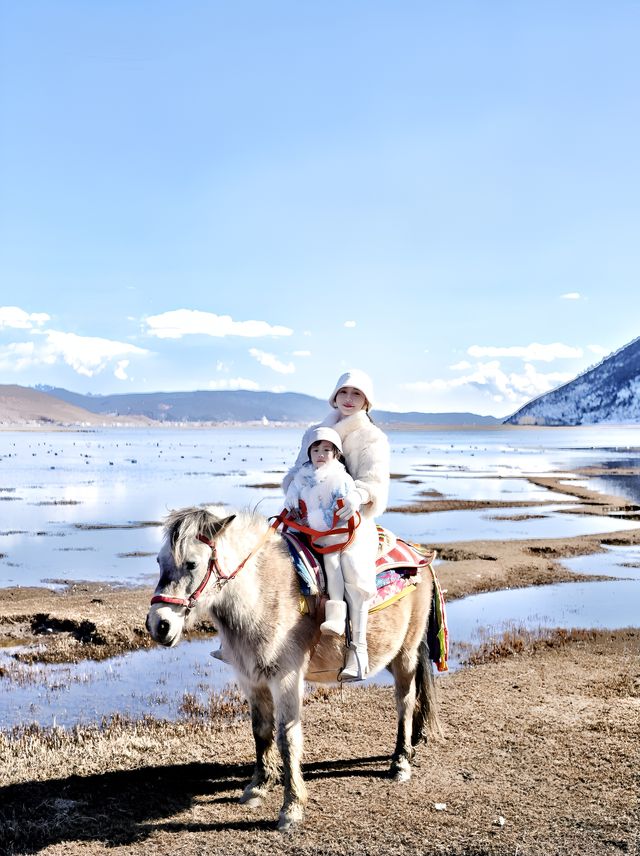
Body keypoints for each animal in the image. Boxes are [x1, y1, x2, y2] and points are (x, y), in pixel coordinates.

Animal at [145, 504, 440, 832]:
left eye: (192, 563)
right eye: (159, 561)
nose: (159, 625)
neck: (262, 595)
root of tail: (419, 555)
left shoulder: (286, 679)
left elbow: (288, 737)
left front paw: (292, 807)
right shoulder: (251, 679)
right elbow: (261, 730)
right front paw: (258, 787)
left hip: (406, 654)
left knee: (405, 701)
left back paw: (400, 761)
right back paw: (413, 745)